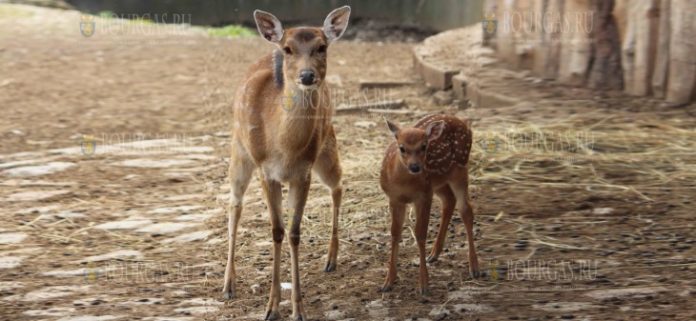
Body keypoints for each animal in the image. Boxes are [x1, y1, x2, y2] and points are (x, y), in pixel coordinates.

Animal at [223, 5, 350, 320]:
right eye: (288, 49)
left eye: (322, 47)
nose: (306, 75)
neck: (284, 148)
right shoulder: (266, 171)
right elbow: (277, 231)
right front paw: (271, 308)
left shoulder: (303, 172)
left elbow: (293, 233)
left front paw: (297, 308)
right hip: (239, 152)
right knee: (234, 203)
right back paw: (228, 285)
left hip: (327, 147)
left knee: (338, 184)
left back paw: (331, 259)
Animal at [380, 114, 478, 296]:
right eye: (402, 148)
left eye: (424, 146)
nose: (415, 167)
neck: (404, 184)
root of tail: (464, 123)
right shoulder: (394, 198)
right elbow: (395, 233)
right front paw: (388, 281)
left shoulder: (424, 196)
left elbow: (420, 233)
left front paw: (424, 284)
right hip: (439, 182)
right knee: (449, 200)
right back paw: (434, 254)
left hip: (460, 169)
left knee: (466, 210)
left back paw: (474, 267)